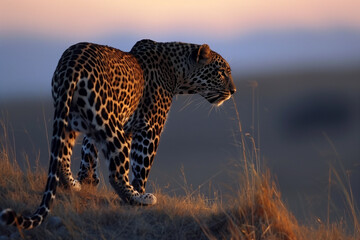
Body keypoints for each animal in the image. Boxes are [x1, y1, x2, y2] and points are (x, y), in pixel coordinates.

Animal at [0, 39, 236, 229]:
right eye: (221, 72)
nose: (234, 91)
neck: (177, 71)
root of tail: (72, 64)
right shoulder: (149, 128)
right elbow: (141, 166)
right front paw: (139, 191)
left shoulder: (94, 129)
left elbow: (88, 155)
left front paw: (87, 182)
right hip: (112, 127)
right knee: (116, 173)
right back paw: (139, 198)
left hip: (69, 118)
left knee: (62, 157)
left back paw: (72, 185)